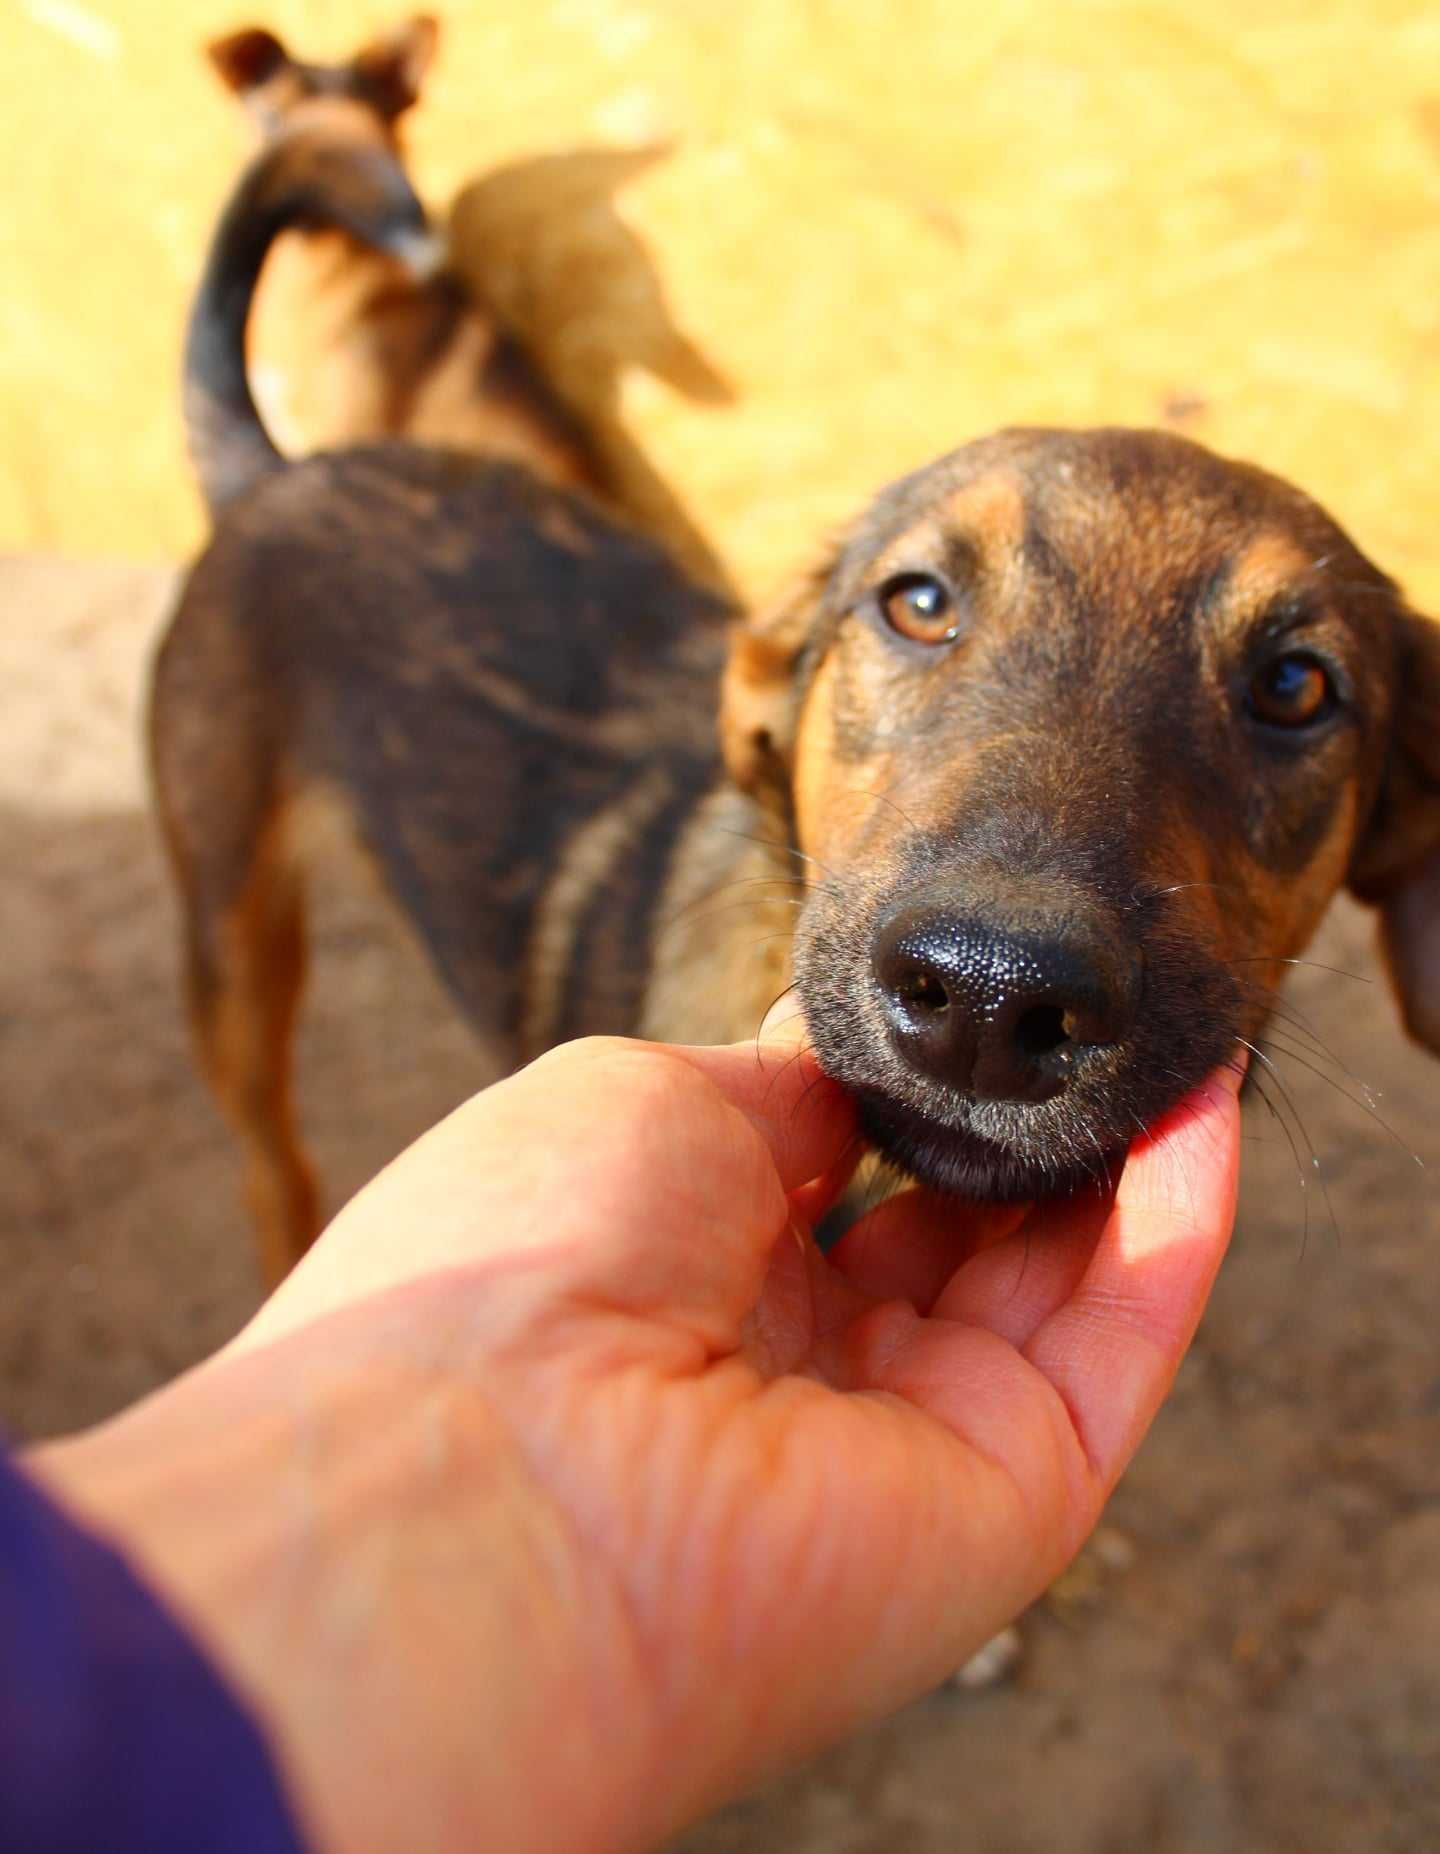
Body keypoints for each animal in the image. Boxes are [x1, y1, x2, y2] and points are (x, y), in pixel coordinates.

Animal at [149, 163, 1438, 1290]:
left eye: (1296, 686)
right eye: (918, 602)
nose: (990, 997)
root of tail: (276, 474)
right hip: (232, 950)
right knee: (272, 1158)